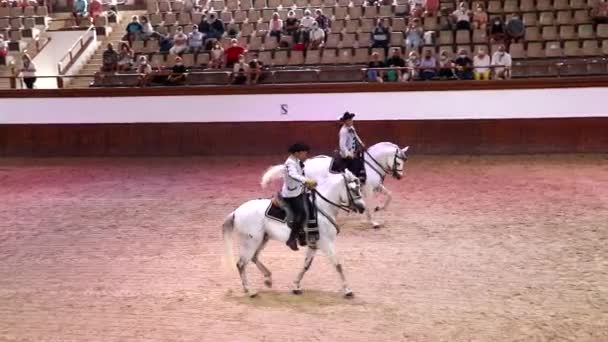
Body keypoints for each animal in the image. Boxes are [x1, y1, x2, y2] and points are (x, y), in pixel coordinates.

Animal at [223, 169, 366, 300]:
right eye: (354, 189)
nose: (362, 208)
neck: (322, 208)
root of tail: (236, 212)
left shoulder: (314, 246)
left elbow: (306, 266)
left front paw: (296, 286)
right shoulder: (327, 244)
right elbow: (338, 265)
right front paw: (348, 290)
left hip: (263, 239)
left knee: (254, 258)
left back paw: (268, 279)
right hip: (251, 242)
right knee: (241, 264)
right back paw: (250, 291)